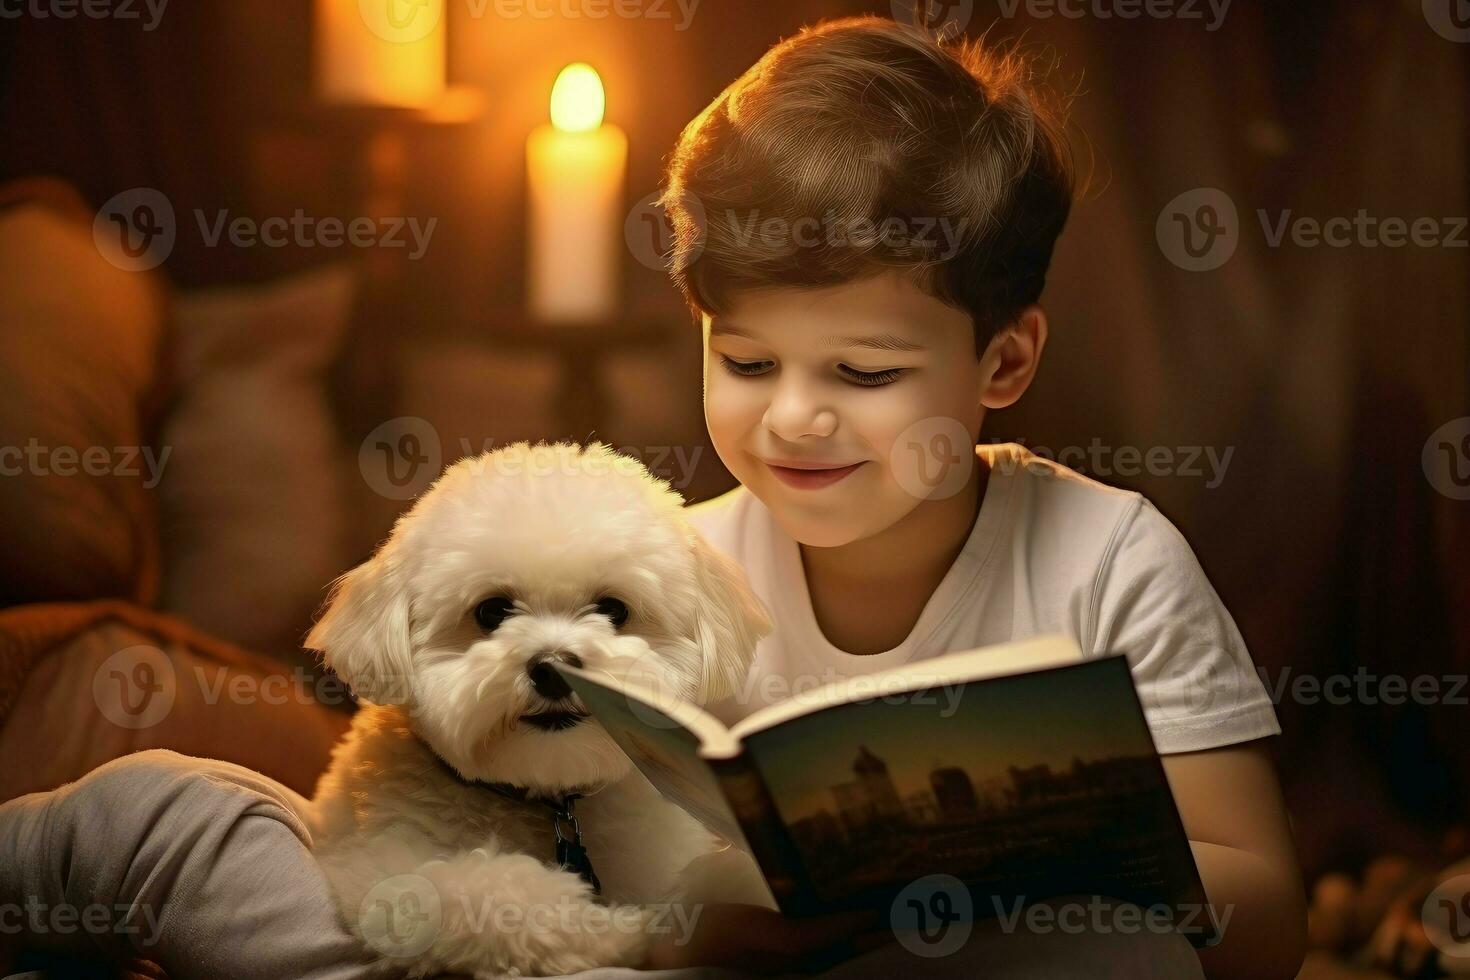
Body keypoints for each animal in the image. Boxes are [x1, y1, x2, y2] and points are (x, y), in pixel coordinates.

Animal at [304, 440, 776, 975]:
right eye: (492, 611)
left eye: (613, 609)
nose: (553, 667)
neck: (547, 797)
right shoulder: (377, 864)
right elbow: (484, 891)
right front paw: (607, 930)